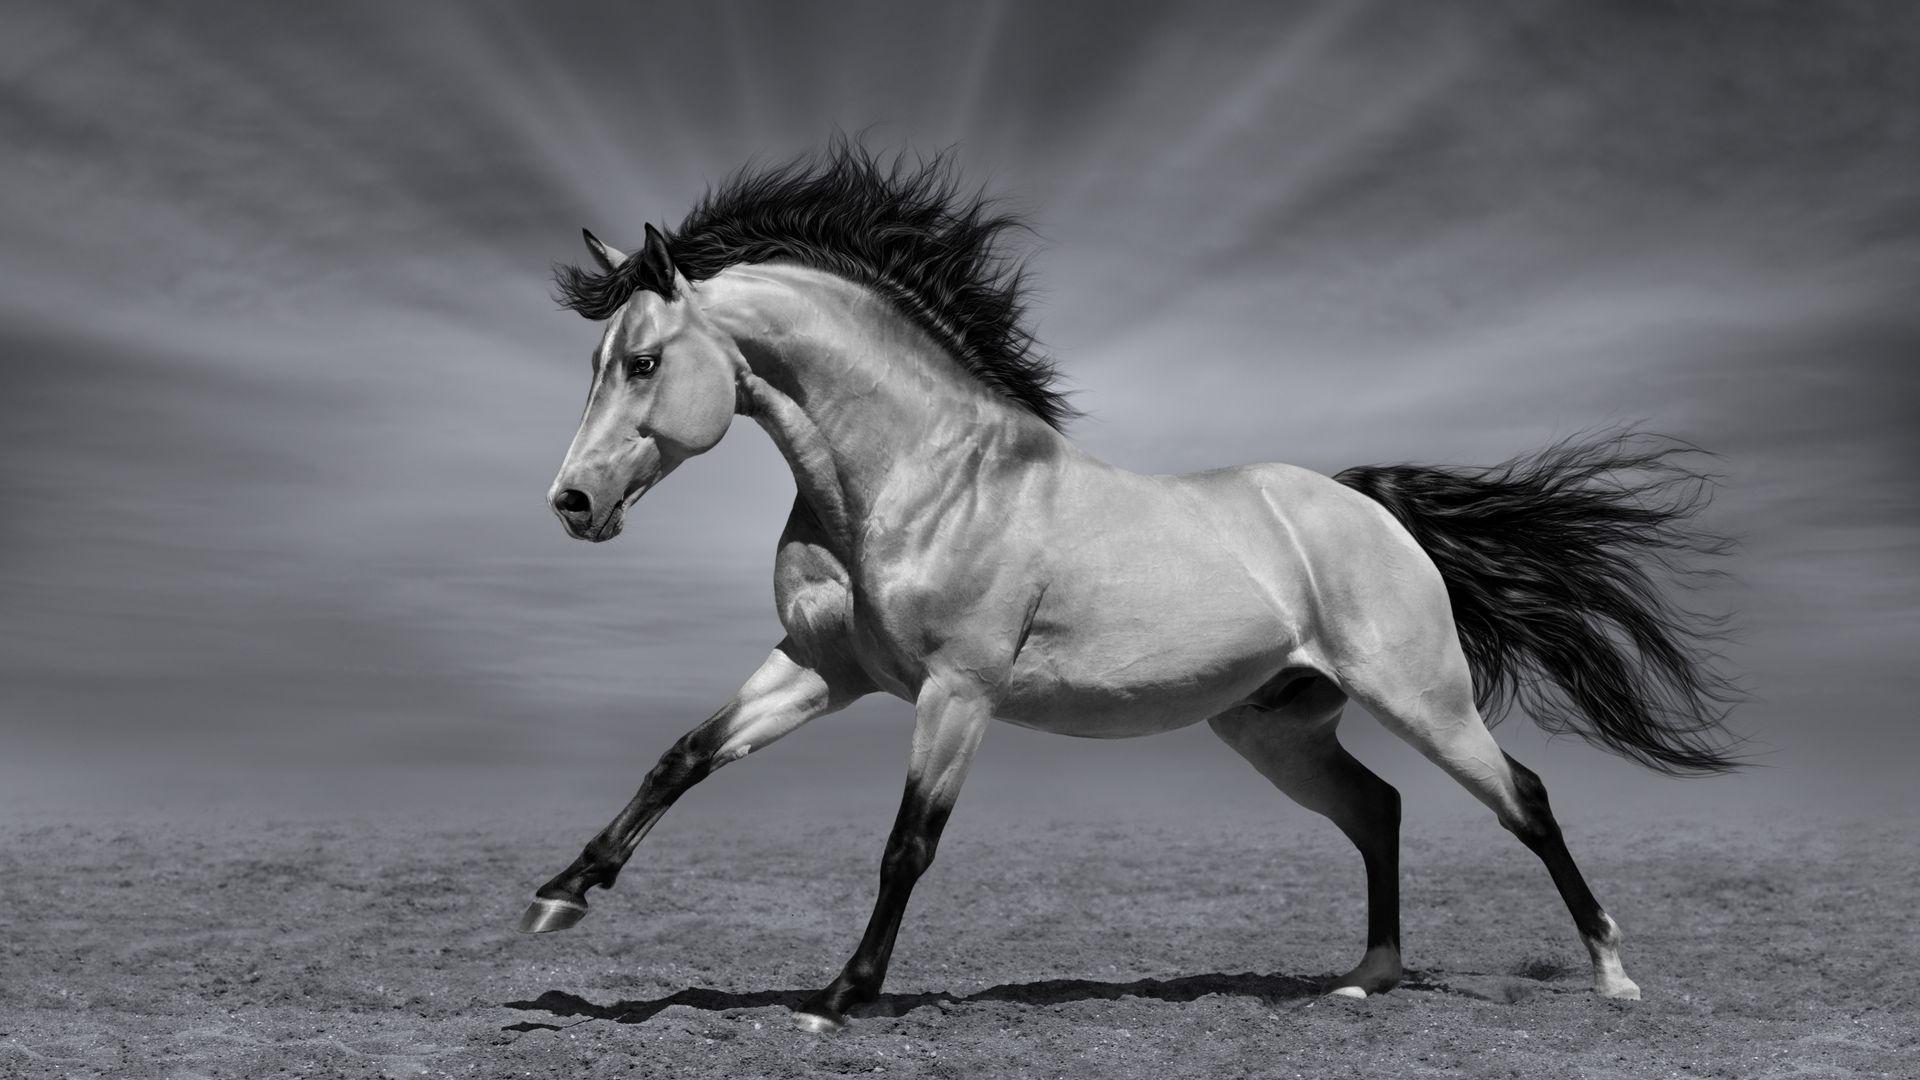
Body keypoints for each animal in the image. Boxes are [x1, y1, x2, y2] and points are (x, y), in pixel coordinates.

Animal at [517, 143, 1739, 1032]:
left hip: (1422, 698)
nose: (572, 503)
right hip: (1276, 727)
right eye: (596, 360)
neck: (919, 479)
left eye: (642, 362)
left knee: (1522, 798)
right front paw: (559, 896)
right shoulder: (824, 669)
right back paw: (1366, 977)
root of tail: (1368, 509)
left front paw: (838, 999)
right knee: (1379, 810)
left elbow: (909, 843)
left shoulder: (956, 694)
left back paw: (1613, 976)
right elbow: (682, 756)